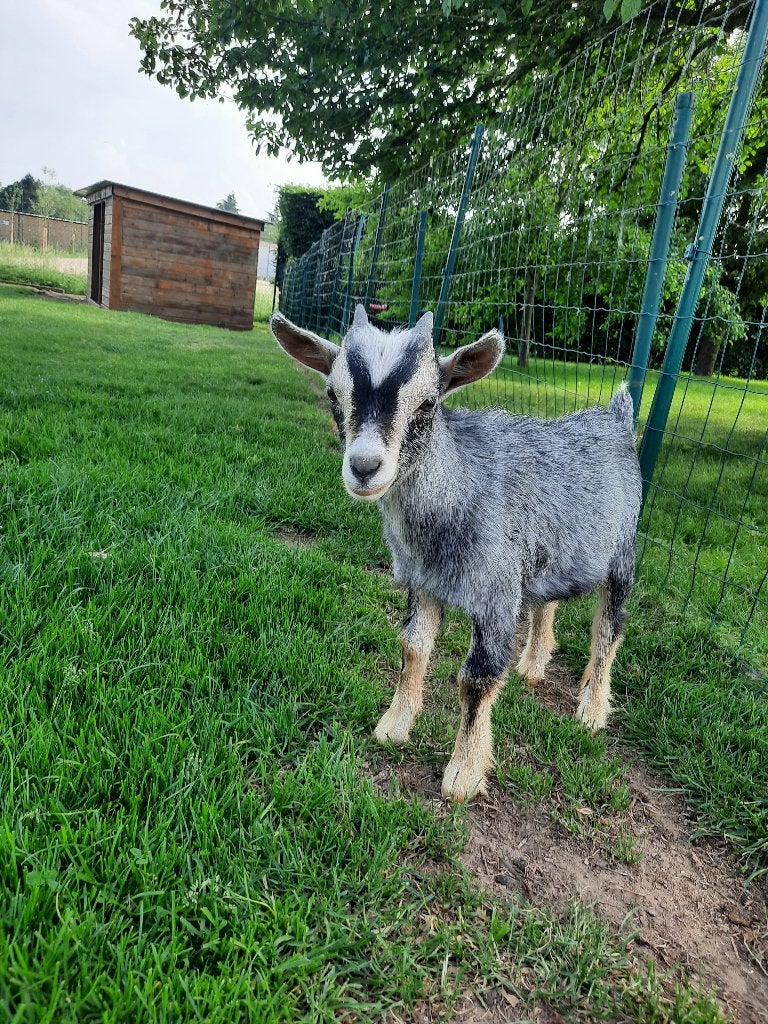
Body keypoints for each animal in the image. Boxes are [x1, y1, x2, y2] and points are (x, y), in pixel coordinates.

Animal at [270, 305, 642, 802]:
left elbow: (477, 677)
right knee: (547, 601)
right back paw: (532, 666)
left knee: (609, 628)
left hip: (622, 552)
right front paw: (393, 727)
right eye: (333, 394)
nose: (365, 467)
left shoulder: (496, 592)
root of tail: (616, 418)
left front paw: (464, 774)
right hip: (549, 555)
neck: (458, 492)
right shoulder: (424, 582)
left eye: (428, 403)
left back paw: (592, 709)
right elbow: (412, 648)